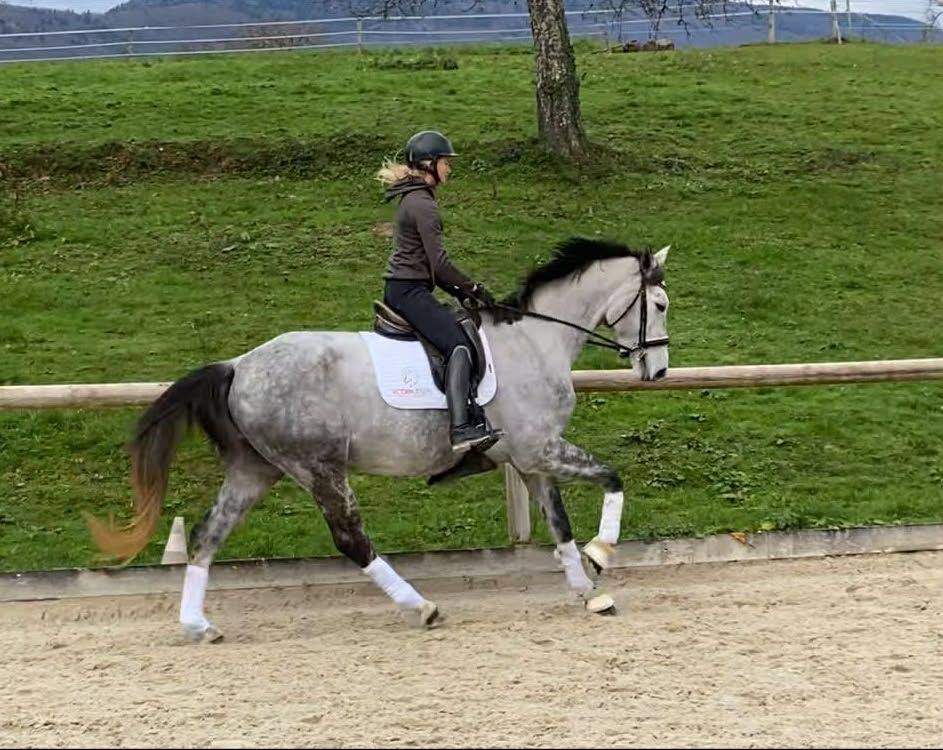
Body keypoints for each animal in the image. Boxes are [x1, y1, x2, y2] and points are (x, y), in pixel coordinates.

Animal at [90, 237, 671, 641]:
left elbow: (560, 523)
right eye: (661, 305)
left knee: (209, 533)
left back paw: (197, 625)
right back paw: (421, 607)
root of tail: (237, 366)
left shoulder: (531, 458)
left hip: (255, 469)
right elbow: (612, 477)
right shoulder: (540, 449)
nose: (659, 372)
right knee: (351, 538)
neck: (535, 339)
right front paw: (602, 553)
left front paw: (587, 590)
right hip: (318, 467)